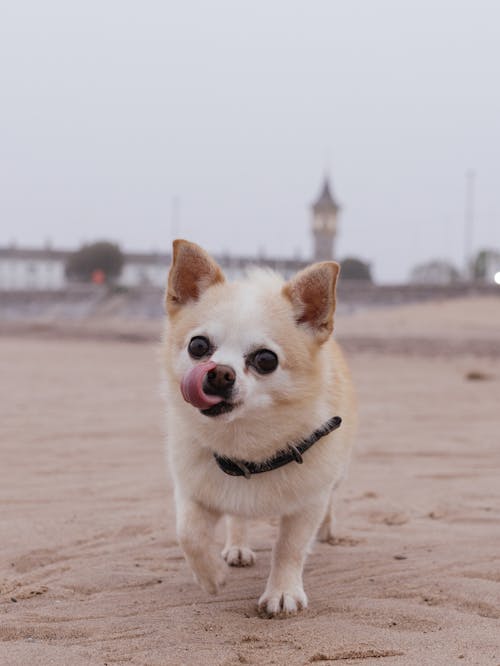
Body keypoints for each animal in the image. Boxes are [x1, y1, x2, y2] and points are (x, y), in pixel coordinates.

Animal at [164, 240, 356, 616]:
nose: (219, 373)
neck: (246, 445)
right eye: (198, 346)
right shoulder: (193, 489)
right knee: (237, 518)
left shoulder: (307, 503)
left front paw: (282, 592)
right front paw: (211, 576)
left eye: (266, 359)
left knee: (330, 503)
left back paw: (327, 531)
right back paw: (237, 547)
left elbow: (289, 548)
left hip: (337, 474)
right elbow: (187, 533)